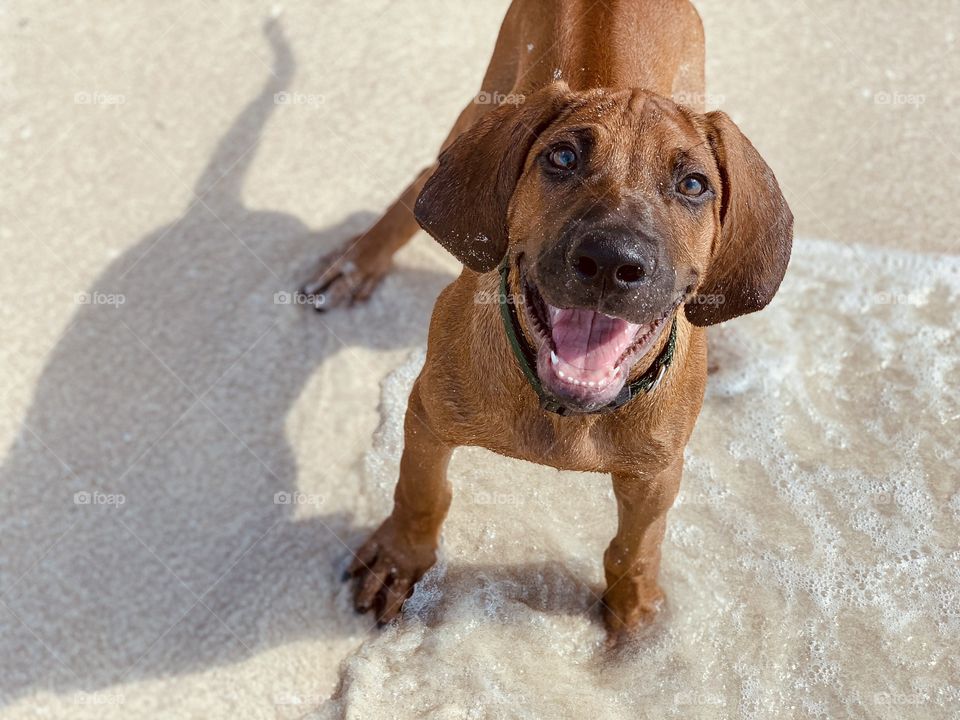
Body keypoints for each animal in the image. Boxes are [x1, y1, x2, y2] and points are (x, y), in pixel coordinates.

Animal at [304, 0, 792, 640]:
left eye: (693, 184)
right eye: (562, 157)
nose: (611, 261)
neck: (565, 409)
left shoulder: (659, 472)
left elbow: (637, 545)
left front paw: (636, 617)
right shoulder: (428, 412)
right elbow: (421, 491)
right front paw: (398, 560)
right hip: (485, 94)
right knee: (420, 177)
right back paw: (357, 263)